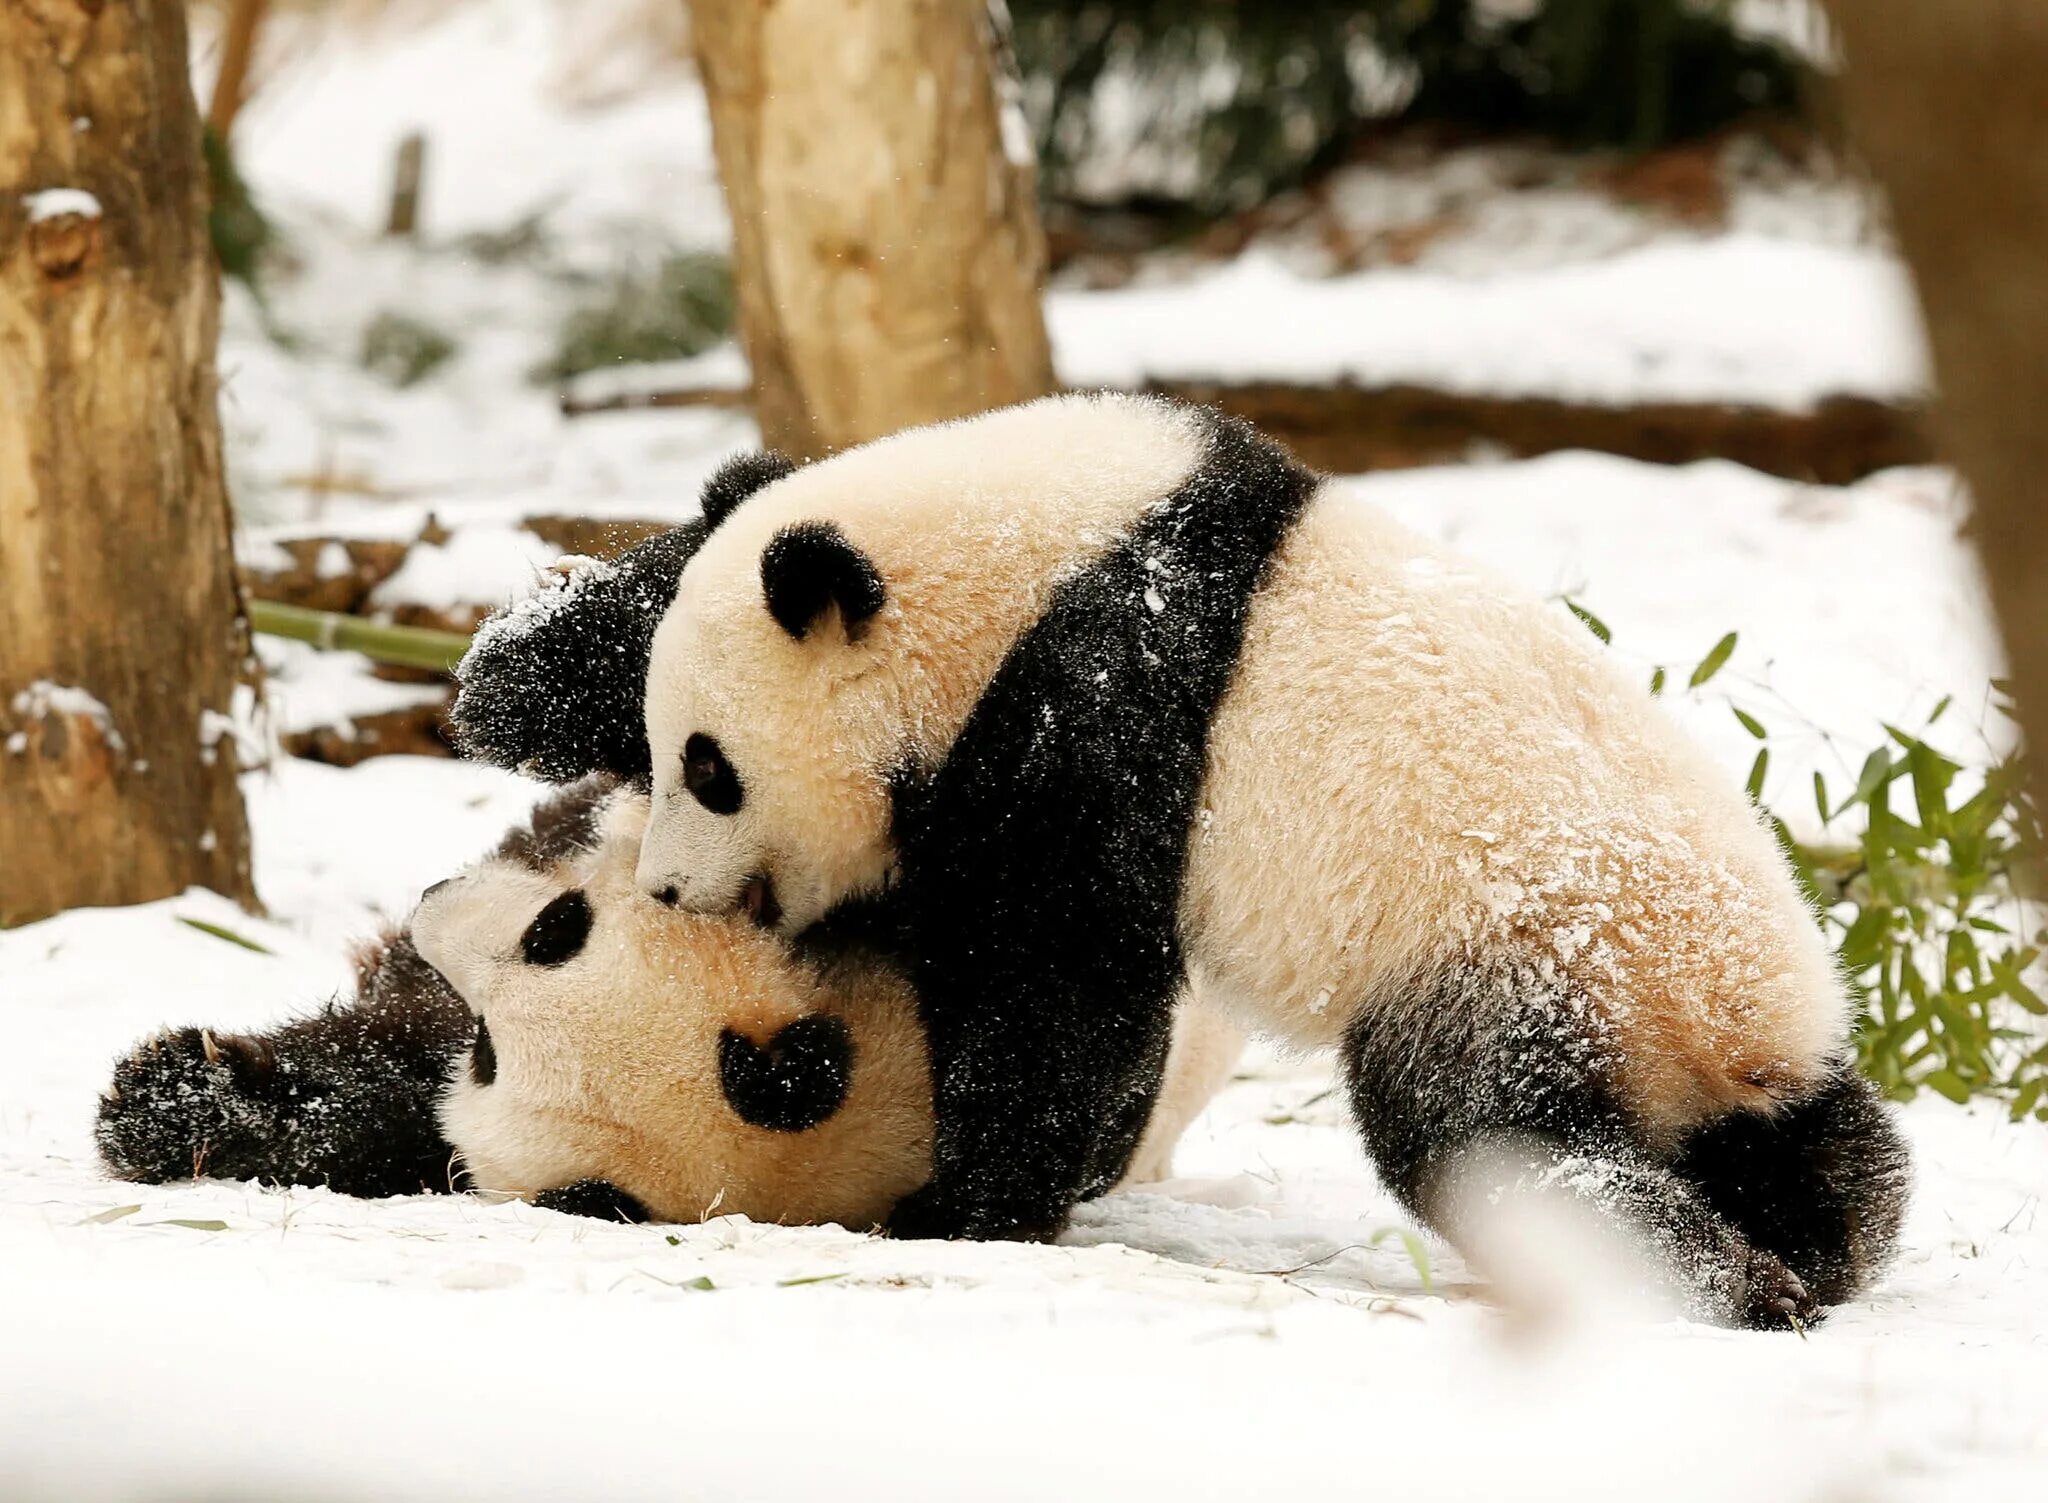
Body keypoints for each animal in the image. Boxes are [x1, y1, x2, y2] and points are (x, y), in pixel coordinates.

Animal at [626, 391, 1916, 1326]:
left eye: (707, 767)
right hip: (1689, 1016)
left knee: (1486, 1133)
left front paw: (962, 1205)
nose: (664, 888)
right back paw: (1820, 1245)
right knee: (1811, 1140)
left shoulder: (1096, 704)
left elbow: (1055, 979)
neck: (1018, 563)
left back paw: (1728, 1283)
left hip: (1517, 947)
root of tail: (1721, 1017)